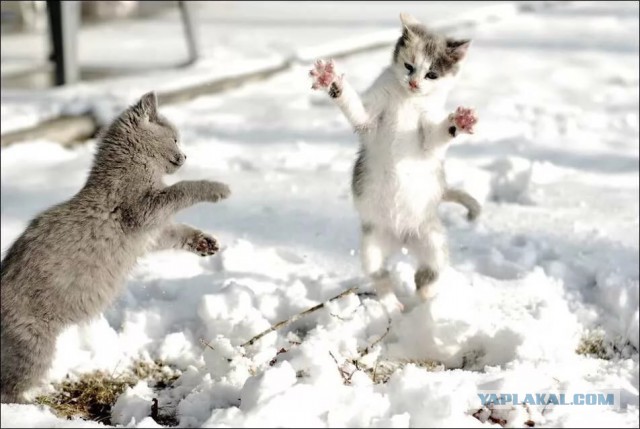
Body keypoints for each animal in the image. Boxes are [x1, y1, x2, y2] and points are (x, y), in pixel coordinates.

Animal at [0, 92, 230, 402]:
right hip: (32, 345)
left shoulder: (153, 232)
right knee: (8, 389)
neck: (133, 166)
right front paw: (217, 187)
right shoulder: (143, 210)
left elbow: (177, 230)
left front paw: (204, 242)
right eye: (175, 139)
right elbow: (181, 189)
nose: (185, 156)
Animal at [310, 13, 480, 312]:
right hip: (372, 244)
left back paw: (426, 305)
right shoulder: (369, 117)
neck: (407, 100)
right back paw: (392, 305)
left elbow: (436, 138)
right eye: (409, 66)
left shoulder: (427, 136)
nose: (413, 83)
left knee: (427, 274)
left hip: (433, 241)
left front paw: (458, 122)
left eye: (431, 74)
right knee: (381, 275)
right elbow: (355, 110)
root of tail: (401, 238)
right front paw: (331, 81)